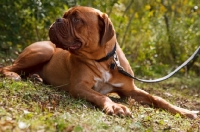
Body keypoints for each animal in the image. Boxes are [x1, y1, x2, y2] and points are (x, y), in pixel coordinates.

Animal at [0, 5, 198, 118]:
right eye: (65, 15)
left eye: (76, 19)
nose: (57, 19)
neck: (104, 61)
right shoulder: (80, 86)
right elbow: (101, 95)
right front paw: (116, 107)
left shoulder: (130, 91)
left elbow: (157, 98)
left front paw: (185, 111)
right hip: (44, 50)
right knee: (7, 67)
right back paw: (13, 75)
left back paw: (36, 78)